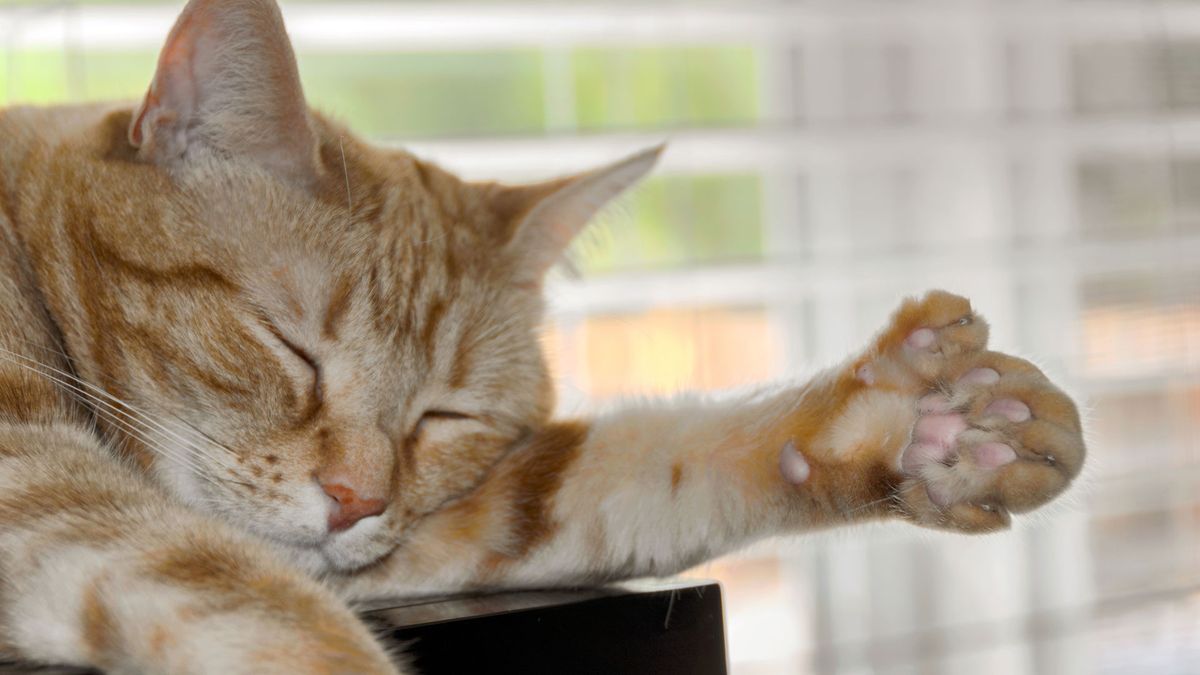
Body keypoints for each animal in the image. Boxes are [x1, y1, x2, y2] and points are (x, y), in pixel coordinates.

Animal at [0, 1, 1089, 667]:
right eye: (289, 346)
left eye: (444, 417)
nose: (354, 501)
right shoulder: (40, 482)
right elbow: (262, 613)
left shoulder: (428, 526)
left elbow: (634, 470)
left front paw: (913, 426)